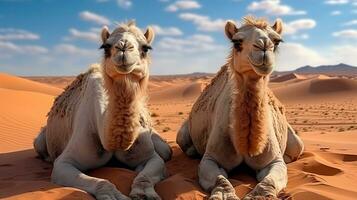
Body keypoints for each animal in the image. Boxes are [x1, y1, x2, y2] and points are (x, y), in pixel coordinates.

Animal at [33, 20, 171, 200]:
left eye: (146, 48)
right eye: (106, 46)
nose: (123, 48)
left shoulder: (150, 155)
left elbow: (147, 172)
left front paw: (144, 194)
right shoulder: (64, 163)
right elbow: (100, 181)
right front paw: (114, 196)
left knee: (166, 151)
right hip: (40, 141)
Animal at [177, 16, 302, 199]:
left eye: (277, 41)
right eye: (237, 42)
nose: (263, 47)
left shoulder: (274, 161)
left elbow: (269, 180)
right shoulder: (210, 158)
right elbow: (219, 179)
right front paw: (224, 195)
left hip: (295, 141)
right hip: (183, 133)